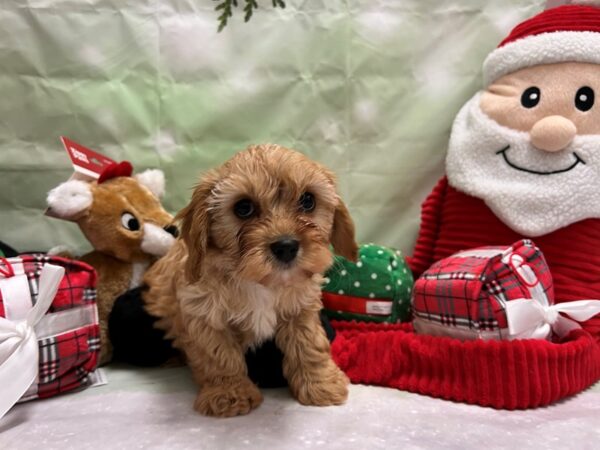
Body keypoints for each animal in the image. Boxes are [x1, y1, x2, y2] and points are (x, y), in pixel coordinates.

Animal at [143, 142, 358, 416]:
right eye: (243, 208)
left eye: (308, 200)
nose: (286, 246)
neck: (260, 282)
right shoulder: (203, 313)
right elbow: (219, 356)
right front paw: (230, 394)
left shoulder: (301, 307)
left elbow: (309, 345)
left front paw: (321, 385)